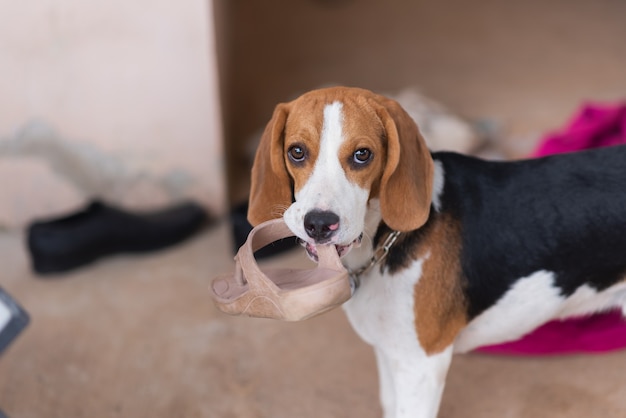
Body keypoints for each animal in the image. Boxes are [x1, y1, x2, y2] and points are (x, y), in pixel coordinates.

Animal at [246, 85, 624, 418]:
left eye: (362, 155)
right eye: (296, 151)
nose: (319, 224)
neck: (383, 241)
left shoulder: (421, 366)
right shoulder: (391, 354)